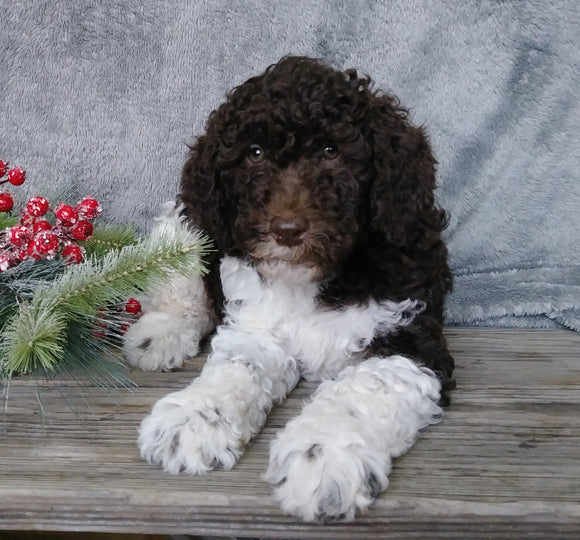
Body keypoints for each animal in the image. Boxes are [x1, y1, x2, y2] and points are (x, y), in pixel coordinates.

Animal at [124, 56, 456, 524]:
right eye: (254, 153)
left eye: (332, 151)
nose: (286, 230)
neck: (312, 279)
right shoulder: (256, 328)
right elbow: (236, 367)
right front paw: (195, 416)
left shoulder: (409, 340)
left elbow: (362, 389)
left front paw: (323, 455)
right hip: (189, 224)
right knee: (185, 286)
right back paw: (158, 334)